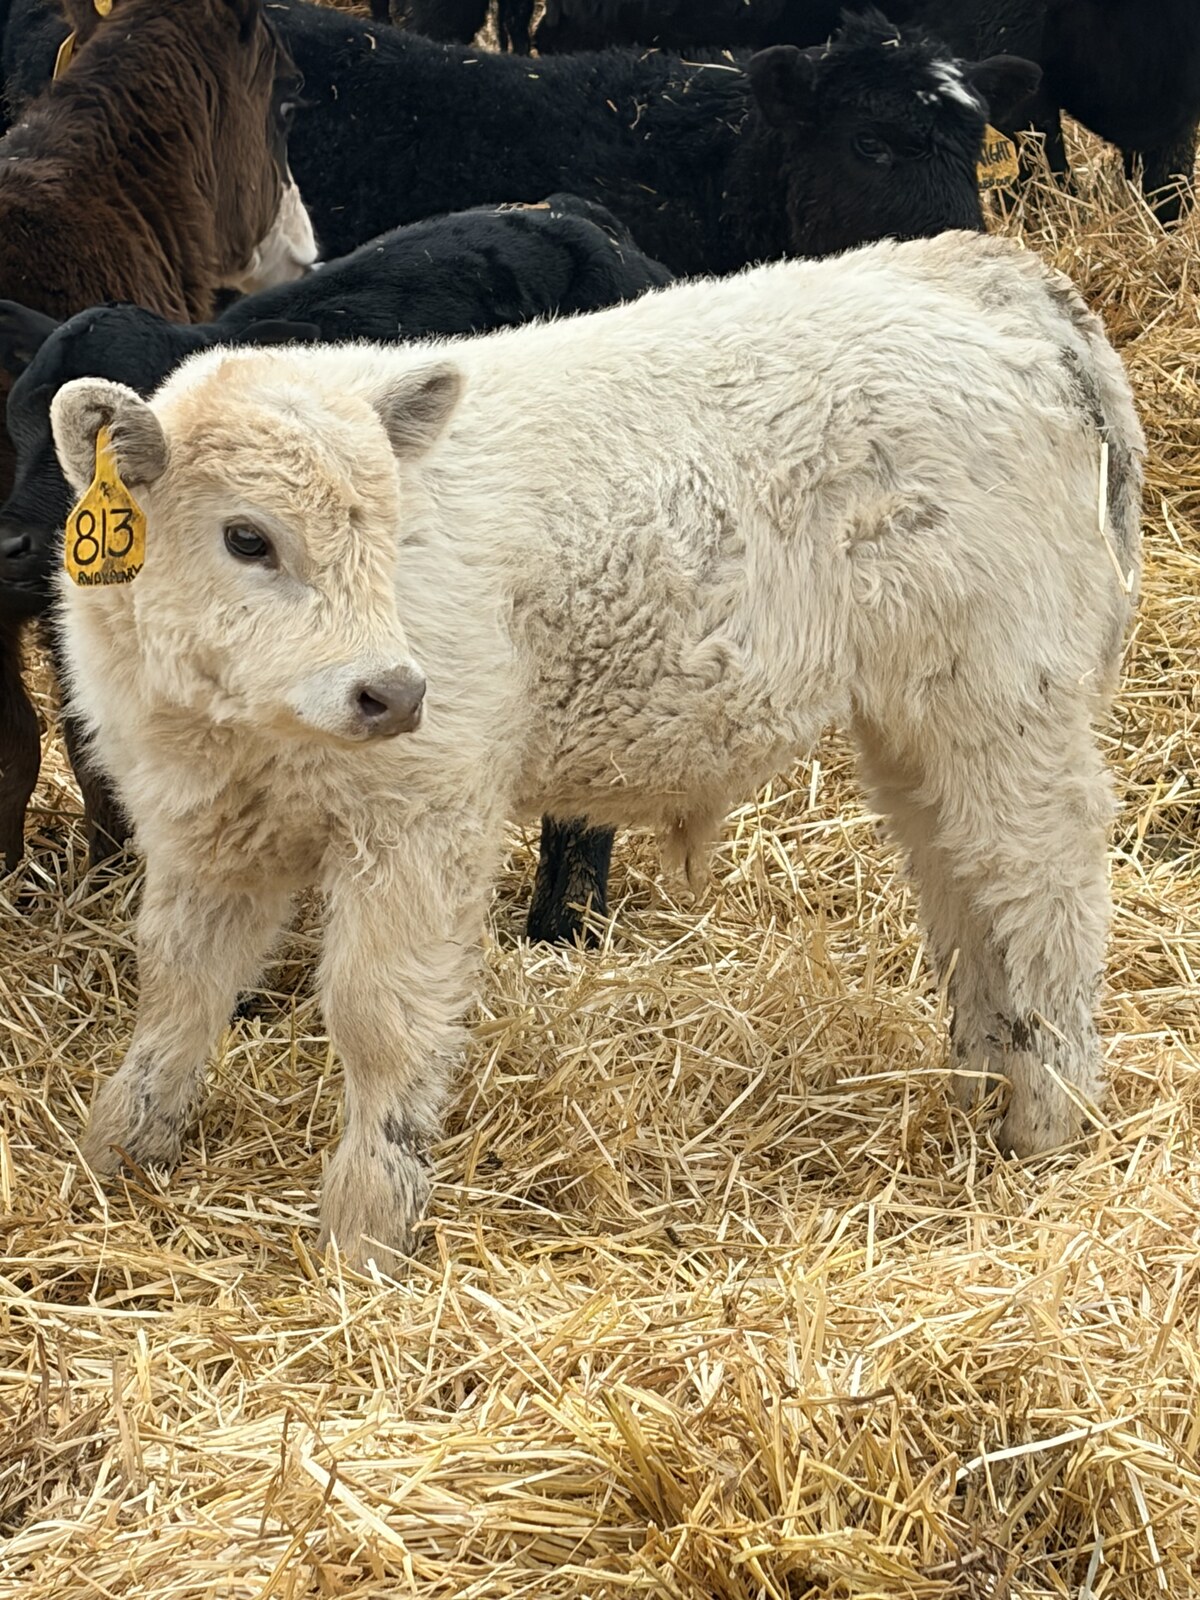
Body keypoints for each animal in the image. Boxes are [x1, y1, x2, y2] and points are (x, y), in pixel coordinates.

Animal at [51, 231, 1142, 1274]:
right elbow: (179, 984)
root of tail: (975, 271)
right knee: (965, 884)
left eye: (390, 528)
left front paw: (365, 1231)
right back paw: (984, 1083)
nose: (393, 691)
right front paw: (119, 1152)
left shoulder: (421, 822)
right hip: (919, 724)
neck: (237, 729)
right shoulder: (202, 834)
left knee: (1046, 885)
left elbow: (378, 1016)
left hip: (1006, 697)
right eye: (246, 537)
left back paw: (1050, 1115)